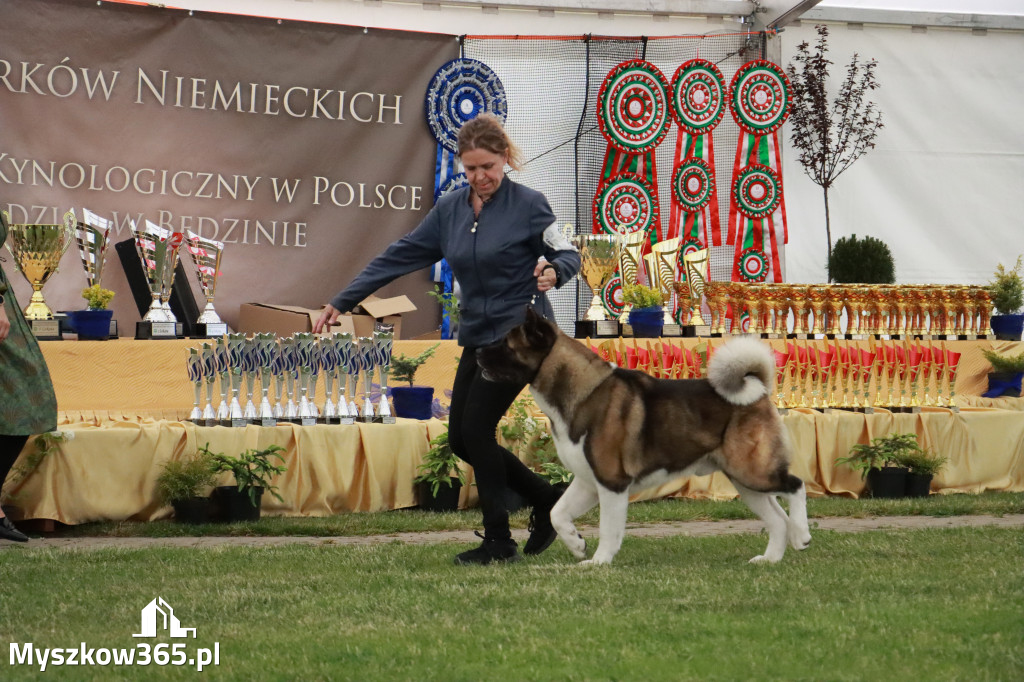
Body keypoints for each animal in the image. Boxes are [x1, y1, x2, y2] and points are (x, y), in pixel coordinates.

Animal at [475, 307, 811, 561]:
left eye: (507, 344)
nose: (476, 352)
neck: (583, 392)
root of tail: (758, 390)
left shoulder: (612, 482)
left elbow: (609, 529)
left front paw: (598, 562)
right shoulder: (588, 480)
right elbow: (558, 513)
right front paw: (577, 545)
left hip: (753, 470)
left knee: (796, 486)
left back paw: (803, 535)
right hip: (745, 479)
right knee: (777, 519)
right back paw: (770, 558)